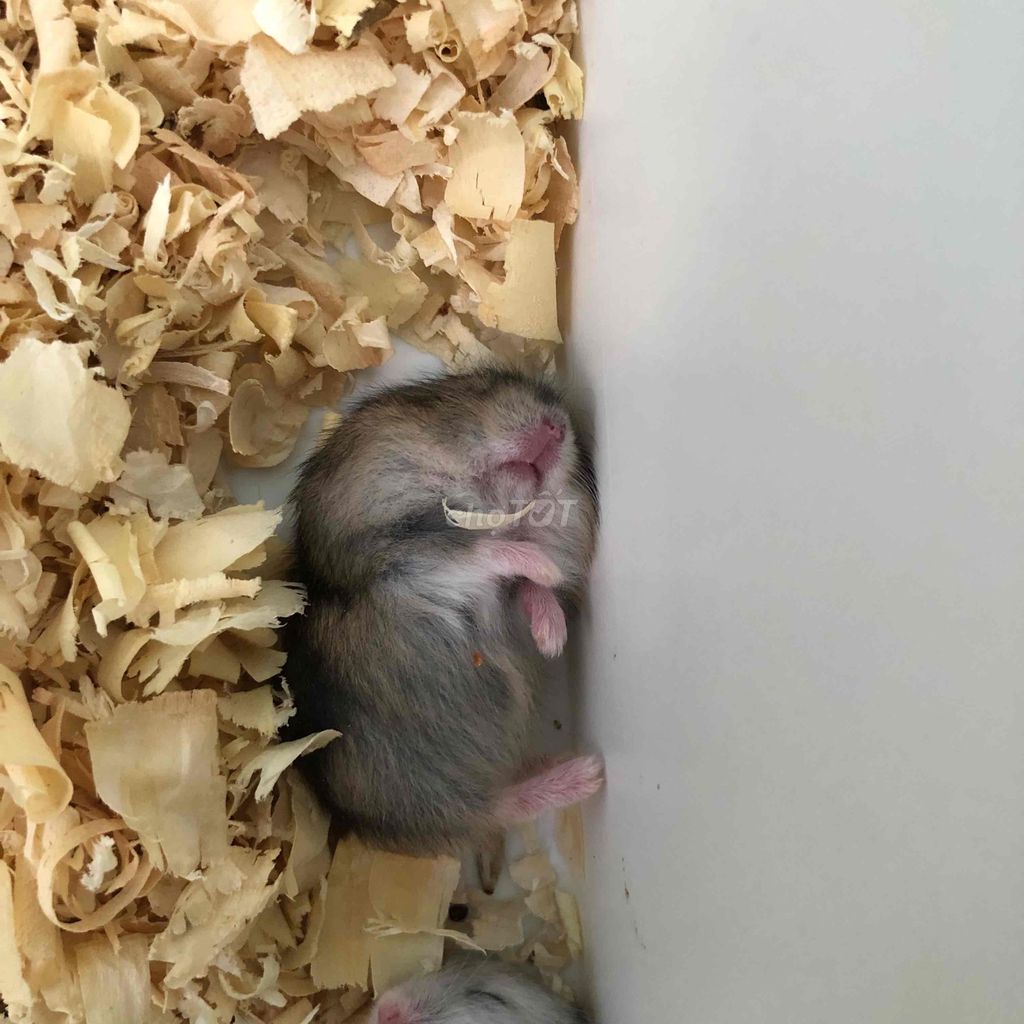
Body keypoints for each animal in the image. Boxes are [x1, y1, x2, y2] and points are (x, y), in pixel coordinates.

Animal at [285, 367, 601, 854]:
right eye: (475, 385)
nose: (557, 426)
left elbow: (525, 590)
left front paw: (552, 637)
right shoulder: (401, 560)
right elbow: (480, 549)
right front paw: (544, 568)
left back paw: (583, 774)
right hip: (409, 788)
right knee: (487, 811)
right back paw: (586, 774)